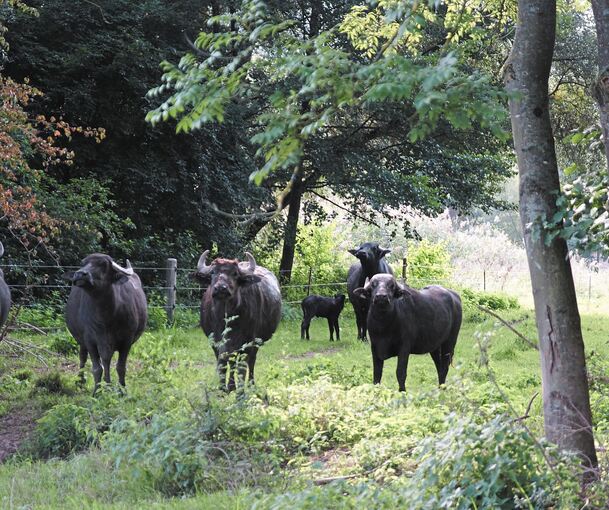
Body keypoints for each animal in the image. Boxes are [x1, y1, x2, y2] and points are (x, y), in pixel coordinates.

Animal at [63, 255, 147, 394]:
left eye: (103, 264)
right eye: (83, 263)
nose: (80, 274)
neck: (105, 319)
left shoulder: (126, 341)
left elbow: (120, 367)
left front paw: (121, 390)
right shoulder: (90, 340)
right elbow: (97, 368)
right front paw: (97, 391)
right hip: (82, 341)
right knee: (83, 357)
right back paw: (80, 381)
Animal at [194, 251, 282, 390]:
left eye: (235, 273)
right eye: (213, 272)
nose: (221, 288)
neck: (226, 318)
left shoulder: (247, 343)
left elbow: (242, 367)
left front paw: (240, 389)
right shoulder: (215, 342)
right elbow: (222, 363)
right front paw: (223, 388)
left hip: (256, 342)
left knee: (251, 361)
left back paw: (251, 384)